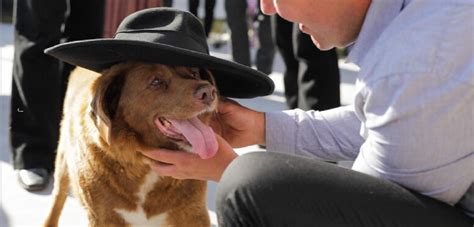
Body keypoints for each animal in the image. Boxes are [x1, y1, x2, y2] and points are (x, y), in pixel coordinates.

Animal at [43, 61, 218, 226]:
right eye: (156, 81)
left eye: (195, 73)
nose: (209, 92)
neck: (144, 165)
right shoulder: (102, 218)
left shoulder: (193, 214)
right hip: (63, 161)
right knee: (57, 197)